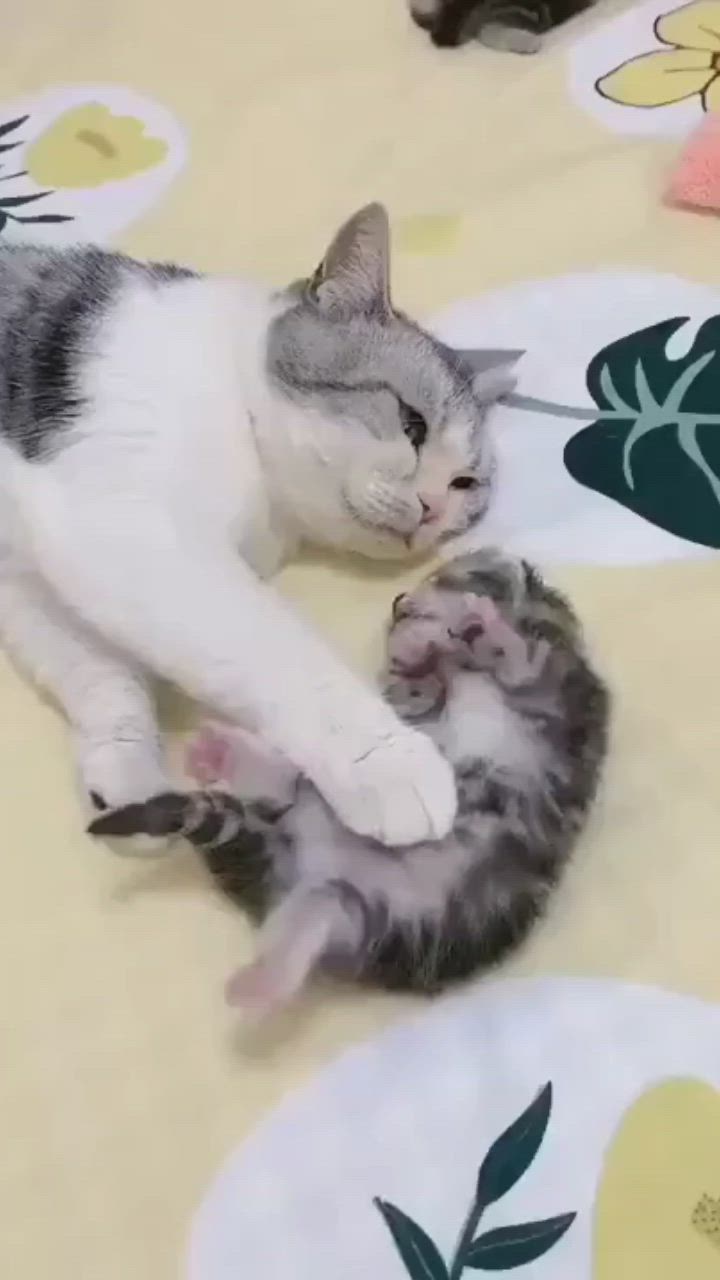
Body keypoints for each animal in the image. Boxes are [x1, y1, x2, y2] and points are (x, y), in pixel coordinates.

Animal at [0, 202, 517, 849]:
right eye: (411, 423)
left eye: (465, 484)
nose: (431, 512)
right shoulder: (125, 528)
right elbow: (281, 655)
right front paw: (386, 761)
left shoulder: (31, 579)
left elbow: (96, 672)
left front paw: (129, 778)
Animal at [88, 550, 604, 1018]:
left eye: (439, 577)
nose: (398, 602)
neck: (461, 666)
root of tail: (299, 868)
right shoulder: (418, 706)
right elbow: (414, 690)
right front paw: (418, 648)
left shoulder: (555, 681)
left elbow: (521, 660)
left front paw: (485, 626)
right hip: (335, 851)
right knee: (286, 796)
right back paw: (224, 756)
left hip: (396, 923)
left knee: (323, 916)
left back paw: (259, 984)